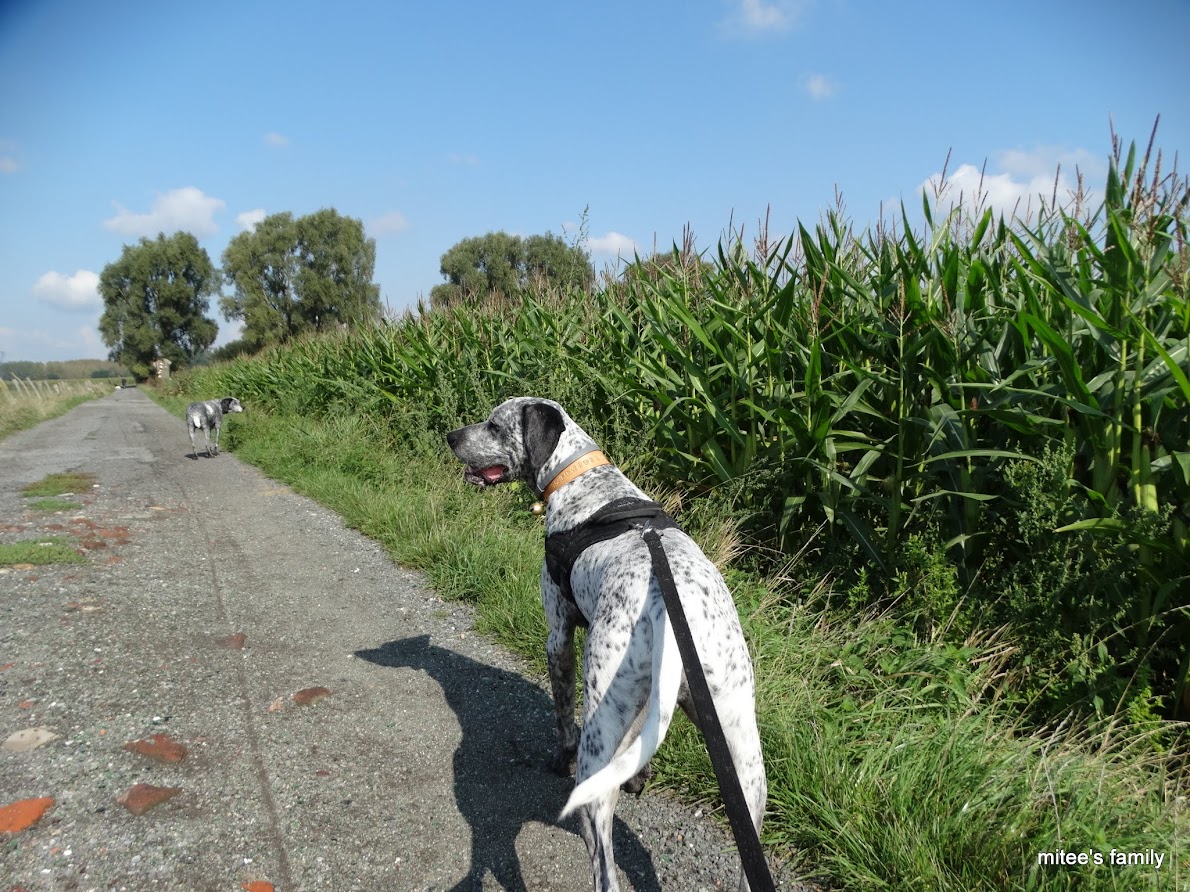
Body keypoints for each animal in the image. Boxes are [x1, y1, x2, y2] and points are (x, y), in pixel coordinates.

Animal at [447, 399, 771, 892]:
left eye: (495, 425)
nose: (450, 437)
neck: (582, 479)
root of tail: (674, 620)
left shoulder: (559, 636)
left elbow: (563, 718)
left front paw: (559, 758)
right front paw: (639, 777)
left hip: (598, 742)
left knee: (604, 864)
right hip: (744, 764)